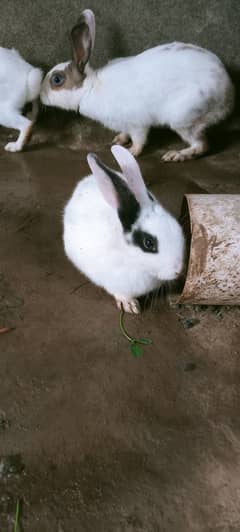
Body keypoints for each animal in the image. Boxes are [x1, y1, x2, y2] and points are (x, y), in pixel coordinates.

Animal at [40, 8, 234, 161]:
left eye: (56, 80)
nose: (41, 95)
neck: (90, 87)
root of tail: (228, 93)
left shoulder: (137, 123)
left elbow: (139, 139)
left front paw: (132, 152)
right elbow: (125, 133)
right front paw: (118, 139)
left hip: (183, 118)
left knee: (202, 145)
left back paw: (176, 155)